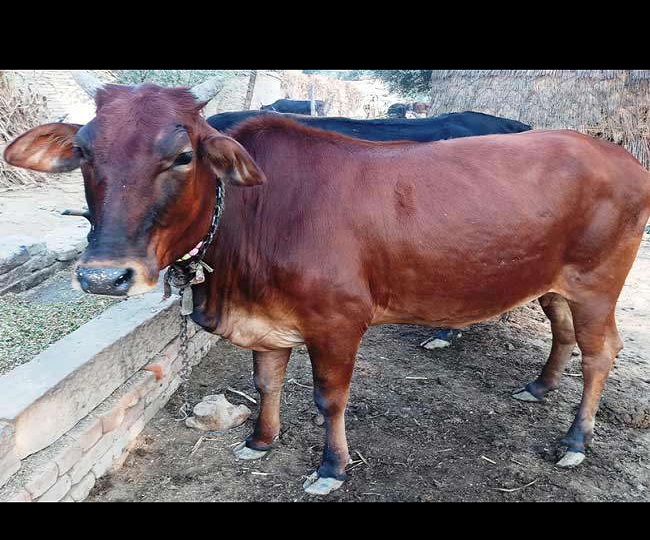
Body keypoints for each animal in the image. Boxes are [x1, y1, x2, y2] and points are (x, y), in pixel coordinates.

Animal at [5, 73, 650, 497]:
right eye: (83, 151)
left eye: (183, 154)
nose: (103, 275)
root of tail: (616, 154)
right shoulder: (265, 323)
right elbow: (265, 383)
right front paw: (260, 440)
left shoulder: (339, 323)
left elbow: (328, 397)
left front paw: (331, 468)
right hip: (553, 282)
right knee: (562, 332)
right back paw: (538, 387)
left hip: (598, 284)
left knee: (601, 353)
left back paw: (575, 441)